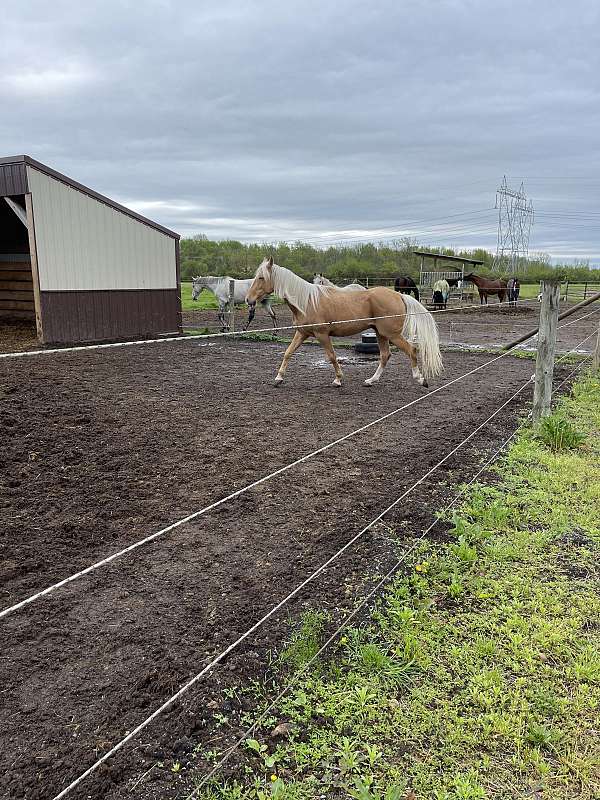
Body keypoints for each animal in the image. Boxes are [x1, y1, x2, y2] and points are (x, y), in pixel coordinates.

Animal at [244, 258, 440, 390]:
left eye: (261, 278)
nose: (248, 299)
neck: (307, 301)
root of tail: (399, 295)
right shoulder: (302, 333)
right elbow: (287, 353)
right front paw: (278, 378)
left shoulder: (322, 335)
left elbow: (332, 356)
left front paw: (338, 379)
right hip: (381, 334)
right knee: (385, 355)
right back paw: (371, 381)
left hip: (392, 334)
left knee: (411, 350)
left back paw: (420, 379)